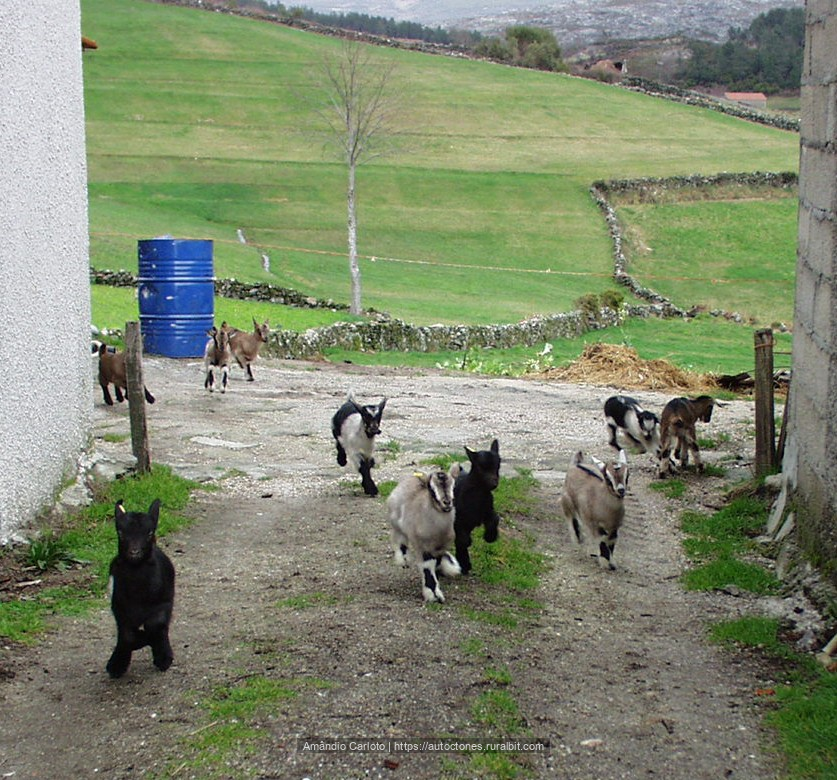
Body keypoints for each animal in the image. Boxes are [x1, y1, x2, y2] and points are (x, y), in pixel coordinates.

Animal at [106, 499, 175, 678]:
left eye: (149, 533)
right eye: (121, 533)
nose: (134, 552)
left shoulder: (163, 603)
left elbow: (156, 626)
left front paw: (163, 657)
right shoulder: (120, 607)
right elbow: (128, 636)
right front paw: (117, 665)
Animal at [387, 465, 462, 603]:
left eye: (454, 486)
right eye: (431, 490)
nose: (447, 503)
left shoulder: (441, 545)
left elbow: (438, 559)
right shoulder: (423, 545)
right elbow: (427, 566)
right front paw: (434, 595)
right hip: (396, 524)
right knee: (399, 540)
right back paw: (403, 559)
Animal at [453, 439, 501, 575]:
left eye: (497, 466)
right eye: (481, 468)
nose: (494, 483)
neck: (478, 493)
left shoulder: (488, 511)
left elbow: (494, 519)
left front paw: (490, 536)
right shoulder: (458, 520)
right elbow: (463, 539)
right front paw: (467, 543)